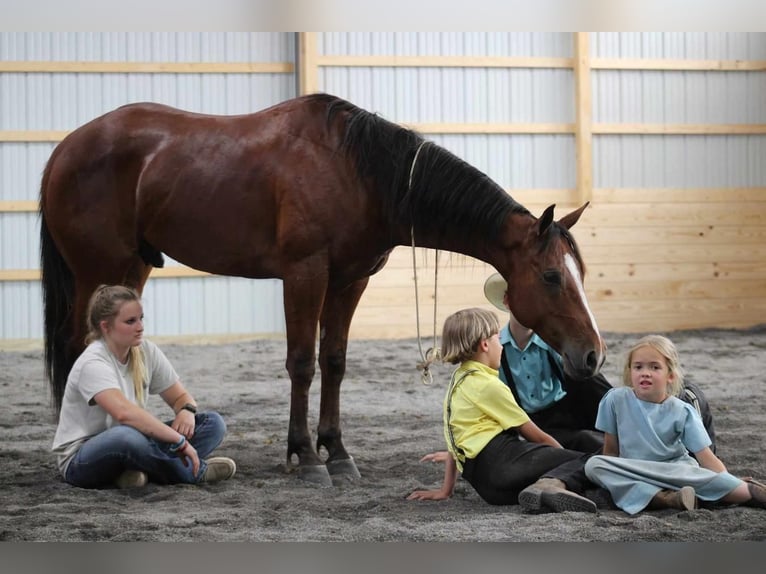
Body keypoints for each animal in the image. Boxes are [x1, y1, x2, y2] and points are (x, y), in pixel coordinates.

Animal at [40, 93, 608, 486]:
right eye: (552, 277)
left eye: (580, 273)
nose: (592, 356)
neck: (360, 174)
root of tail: (66, 148)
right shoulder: (304, 275)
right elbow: (302, 363)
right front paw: (306, 457)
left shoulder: (349, 280)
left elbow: (334, 361)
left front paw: (336, 451)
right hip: (100, 269)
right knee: (79, 345)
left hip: (131, 267)